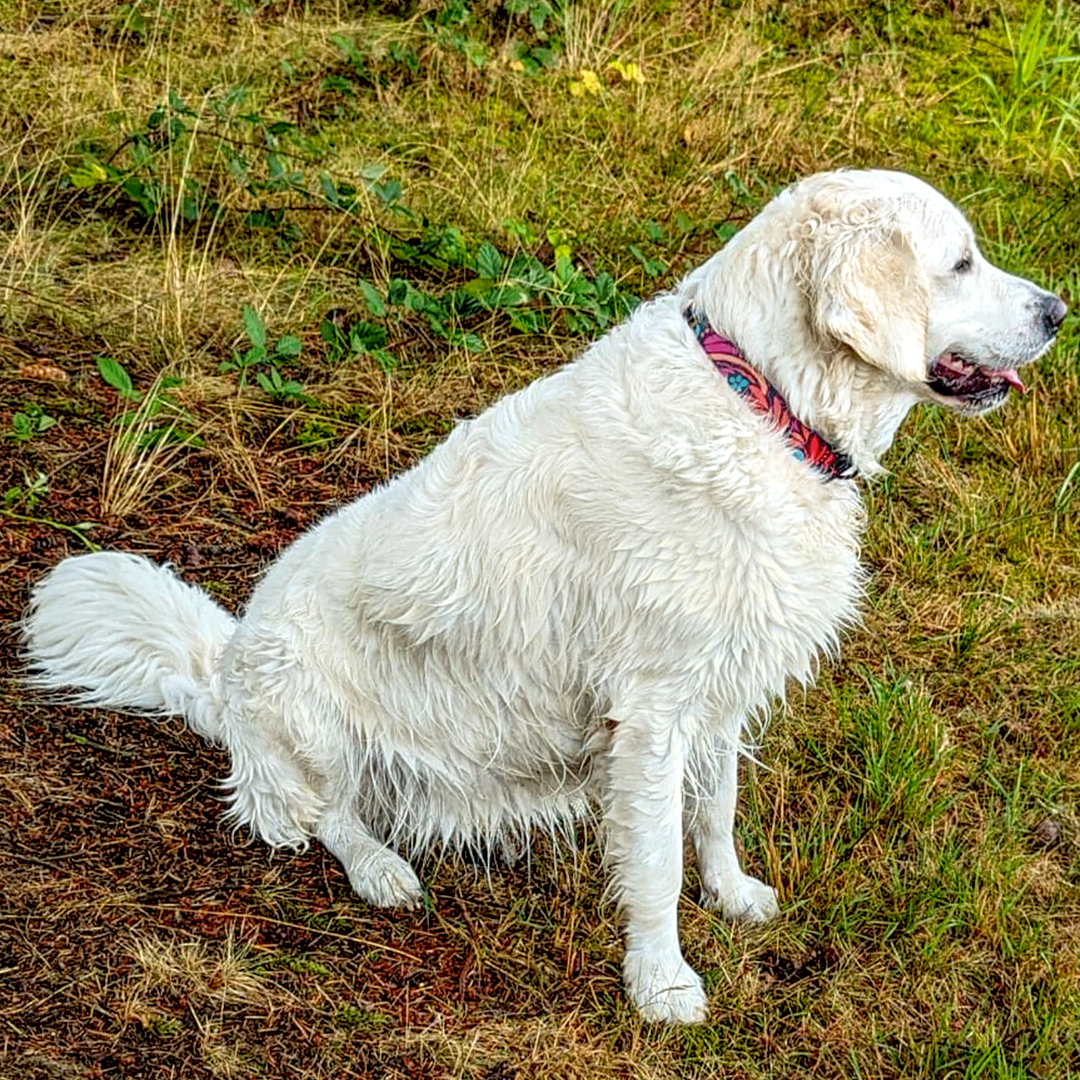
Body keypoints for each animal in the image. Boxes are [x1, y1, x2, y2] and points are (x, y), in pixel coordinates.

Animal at [23, 172, 1062, 1023]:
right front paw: (663, 985)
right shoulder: (651, 710)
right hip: (305, 710)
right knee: (320, 818)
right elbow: (656, 861)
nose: (1058, 310)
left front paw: (733, 895)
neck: (761, 399)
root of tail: (221, 667)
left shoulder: (721, 685)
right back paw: (383, 871)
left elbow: (716, 810)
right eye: (960, 262)